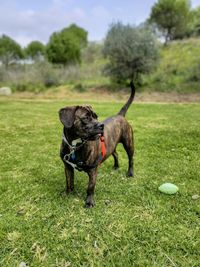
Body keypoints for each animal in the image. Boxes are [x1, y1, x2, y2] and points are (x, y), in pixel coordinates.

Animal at [58, 80, 135, 208]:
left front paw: (89, 202)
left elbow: (90, 187)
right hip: (111, 146)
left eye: (96, 117)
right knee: (115, 154)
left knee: (131, 159)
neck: (75, 145)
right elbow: (69, 181)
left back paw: (130, 173)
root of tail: (120, 115)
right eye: (86, 118)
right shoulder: (67, 167)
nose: (101, 125)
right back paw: (116, 166)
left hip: (129, 143)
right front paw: (68, 193)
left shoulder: (93, 170)